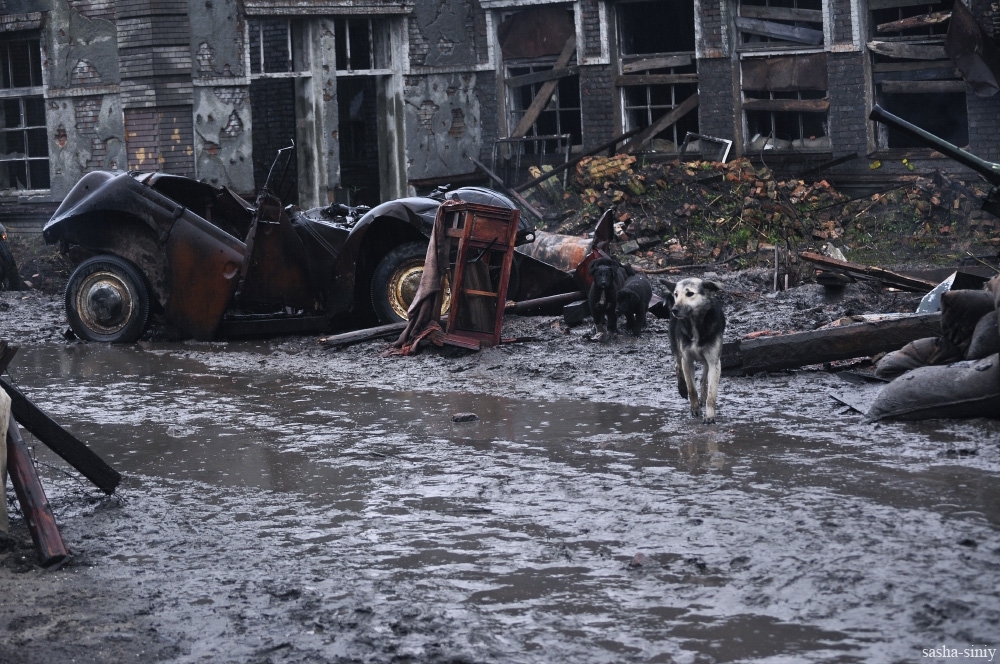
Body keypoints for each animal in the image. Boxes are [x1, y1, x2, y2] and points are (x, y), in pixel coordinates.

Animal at [664, 276, 728, 422]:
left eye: (690, 293)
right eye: (676, 294)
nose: (674, 310)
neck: (695, 323)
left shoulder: (714, 361)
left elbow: (711, 394)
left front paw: (709, 415)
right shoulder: (687, 359)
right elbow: (691, 388)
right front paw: (695, 409)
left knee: (704, 379)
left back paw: (703, 396)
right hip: (676, 346)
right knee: (677, 365)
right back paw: (682, 388)